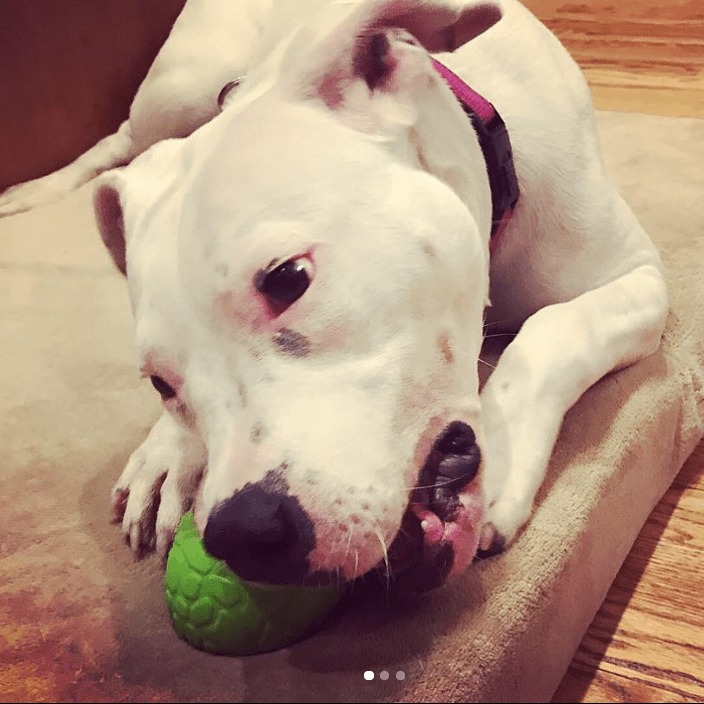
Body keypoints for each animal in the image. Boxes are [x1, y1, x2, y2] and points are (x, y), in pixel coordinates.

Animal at [2, 0, 668, 592]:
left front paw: (503, 448)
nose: (245, 535)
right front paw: (171, 450)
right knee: (120, 143)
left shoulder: (641, 279)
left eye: (287, 278)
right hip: (175, 89)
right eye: (160, 383)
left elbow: (550, 329)